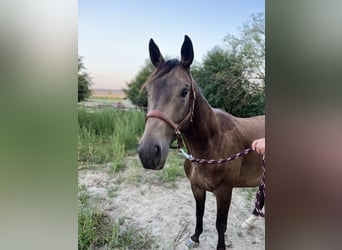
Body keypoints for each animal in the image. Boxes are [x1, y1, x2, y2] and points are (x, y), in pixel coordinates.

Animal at [138, 35, 266, 250]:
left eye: (184, 91)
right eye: (148, 90)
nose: (148, 152)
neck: (211, 145)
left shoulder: (224, 192)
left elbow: (220, 225)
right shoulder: (196, 187)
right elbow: (199, 213)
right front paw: (195, 237)